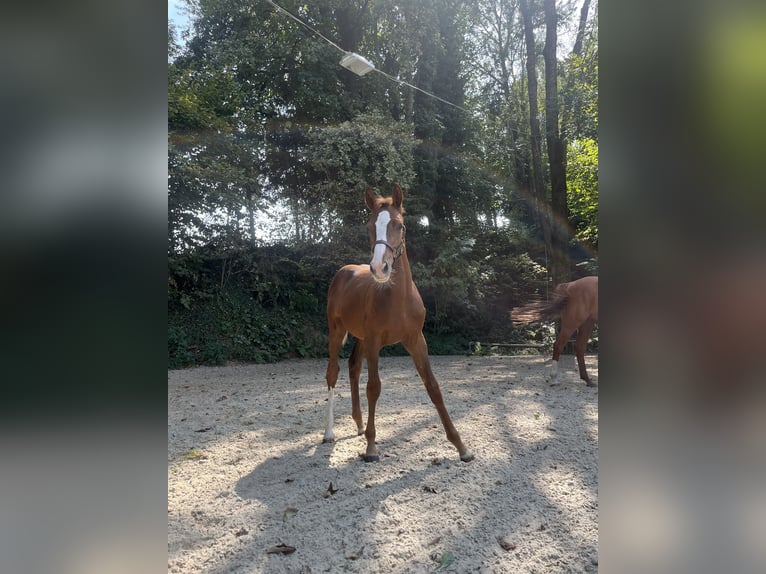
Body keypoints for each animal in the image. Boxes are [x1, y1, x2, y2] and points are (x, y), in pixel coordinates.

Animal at [324, 184, 474, 464]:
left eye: (400, 225)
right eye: (369, 227)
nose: (379, 267)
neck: (398, 299)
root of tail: (344, 271)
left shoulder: (416, 339)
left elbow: (433, 387)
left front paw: (461, 446)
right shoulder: (374, 342)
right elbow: (374, 387)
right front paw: (372, 447)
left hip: (359, 338)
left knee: (353, 367)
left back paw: (359, 424)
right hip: (336, 332)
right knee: (333, 373)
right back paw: (329, 433)